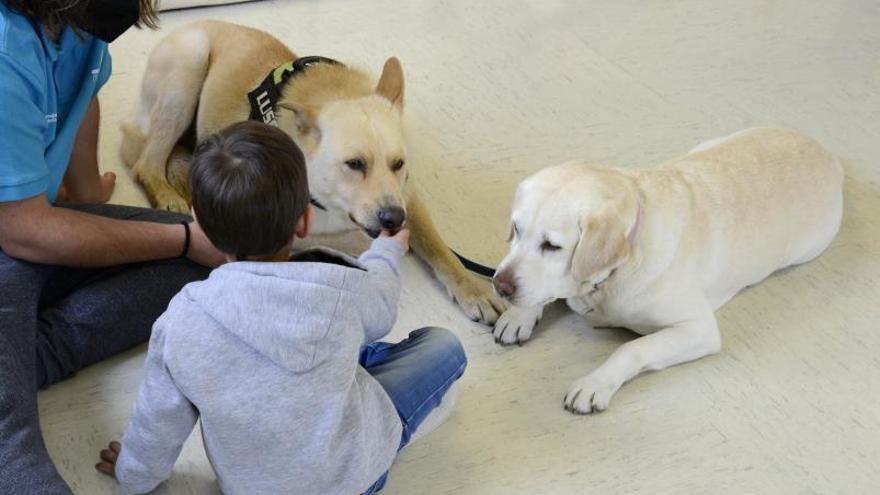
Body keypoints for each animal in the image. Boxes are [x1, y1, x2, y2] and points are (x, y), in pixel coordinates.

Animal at [123, 21, 506, 326]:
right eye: (355, 164)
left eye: (399, 164)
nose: (394, 219)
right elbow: (347, 240)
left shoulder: (407, 196)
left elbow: (440, 248)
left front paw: (473, 289)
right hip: (190, 64)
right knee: (145, 163)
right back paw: (168, 193)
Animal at [492, 128, 844, 414]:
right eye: (516, 228)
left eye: (552, 246)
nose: (500, 285)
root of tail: (828, 152)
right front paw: (518, 316)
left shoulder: (698, 329)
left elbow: (631, 348)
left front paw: (594, 384)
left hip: (808, 248)